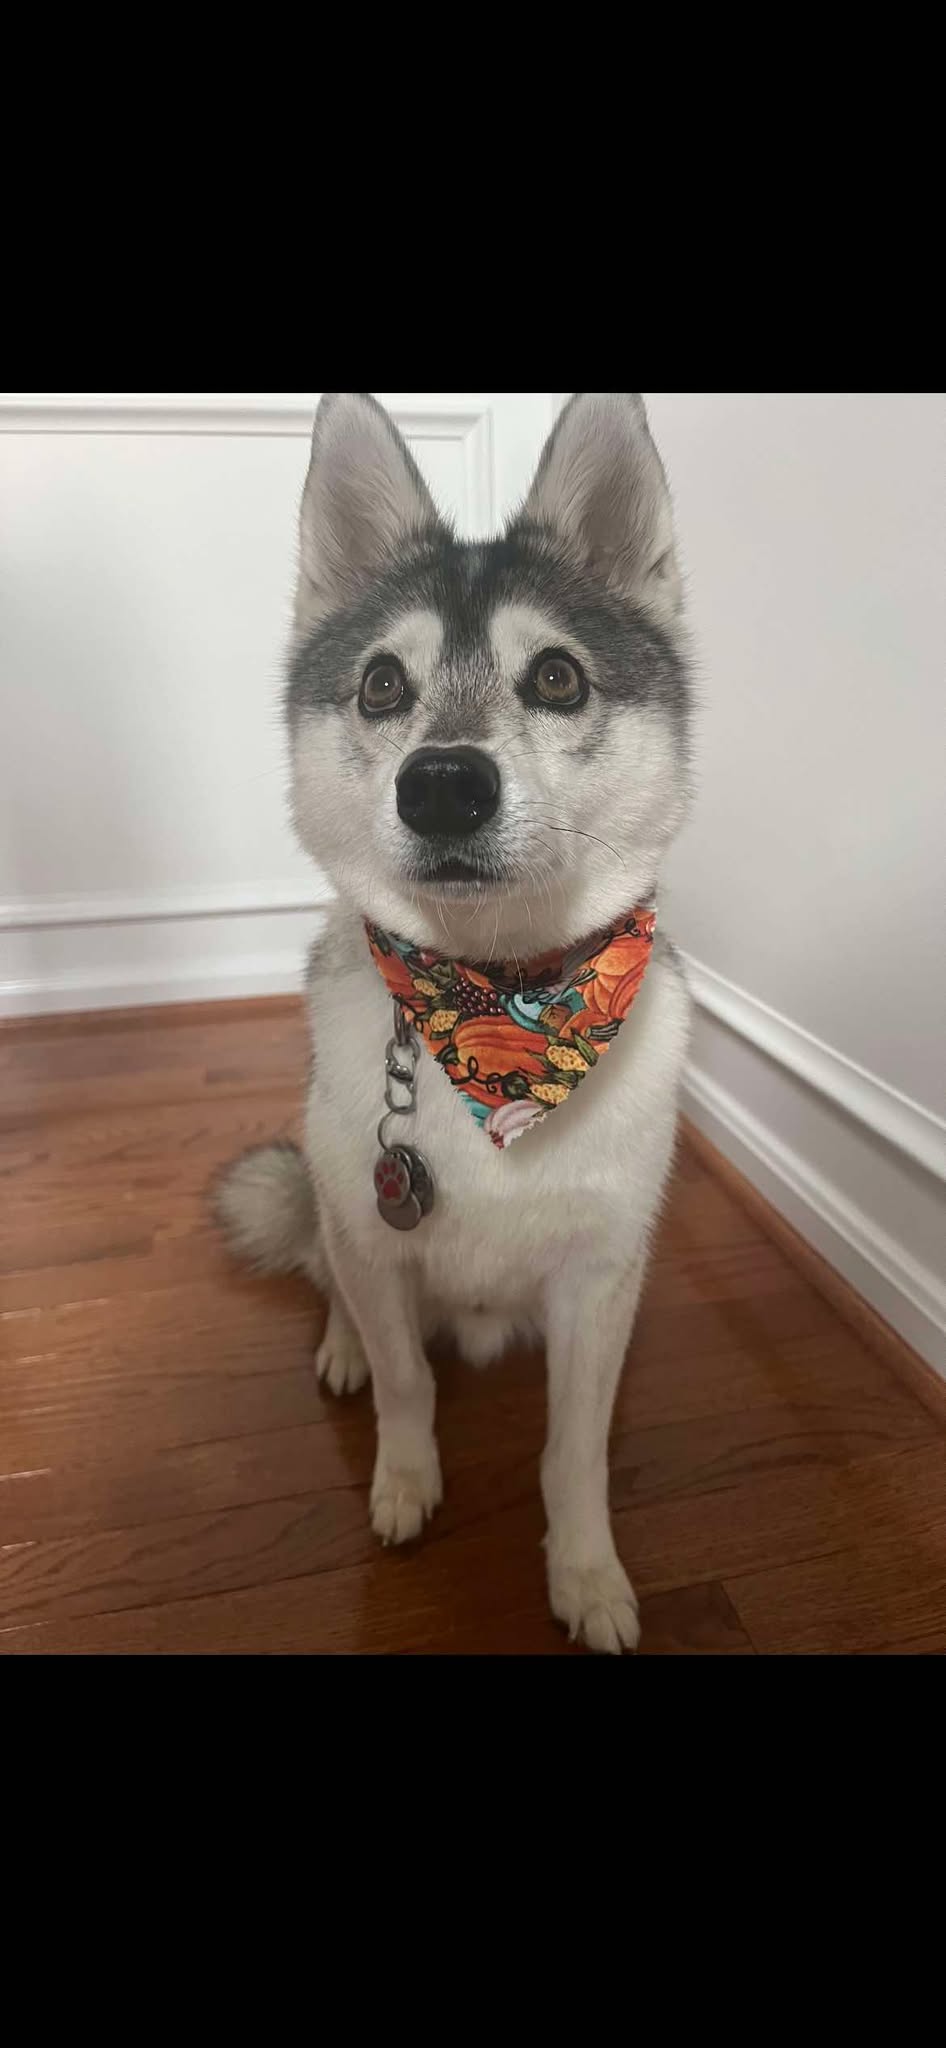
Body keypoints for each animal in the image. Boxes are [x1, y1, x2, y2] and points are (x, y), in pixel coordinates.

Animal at [215, 392, 693, 1653]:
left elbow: (573, 1448)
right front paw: (404, 1479)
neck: (500, 1002)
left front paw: (586, 1570)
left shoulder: (598, 1280)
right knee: (332, 1267)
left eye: (559, 677)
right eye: (383, 684)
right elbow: (405, 1380)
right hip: (333, 1202)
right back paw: (338, 1344)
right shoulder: (382, 1250)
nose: (441, 785)